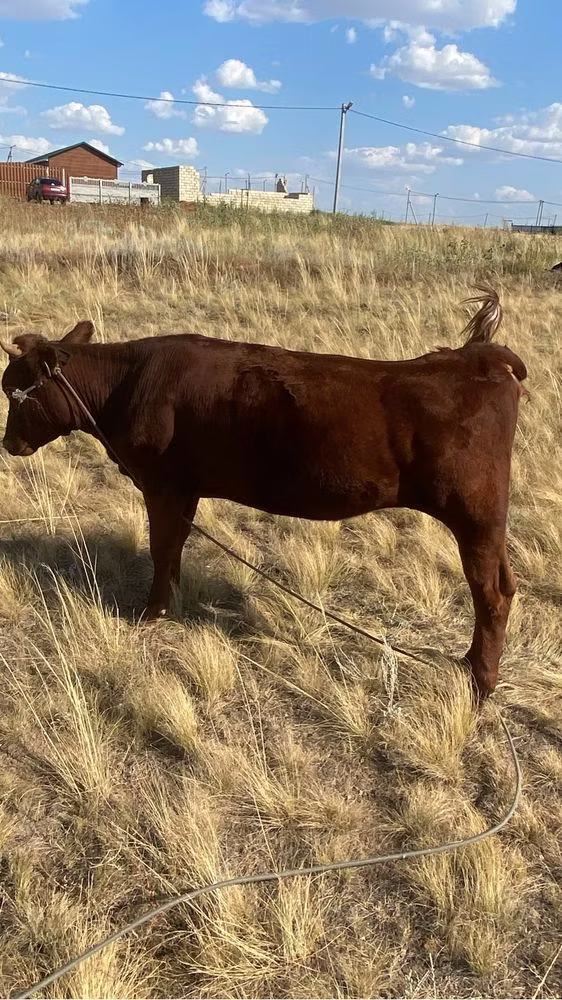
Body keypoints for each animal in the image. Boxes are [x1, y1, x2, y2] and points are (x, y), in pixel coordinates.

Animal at [1, 288, 527, 700]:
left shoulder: (162, 483)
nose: (9, 443)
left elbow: (161, 546)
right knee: (503, 584)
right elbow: (175, 548)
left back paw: (480, 682)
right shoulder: (186, 488)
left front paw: (151, 613)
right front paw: (172, 600)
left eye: (13, 391)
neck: (128, 383)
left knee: (491, 592)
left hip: (475, 514)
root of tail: (478, 357)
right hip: (485, 521)